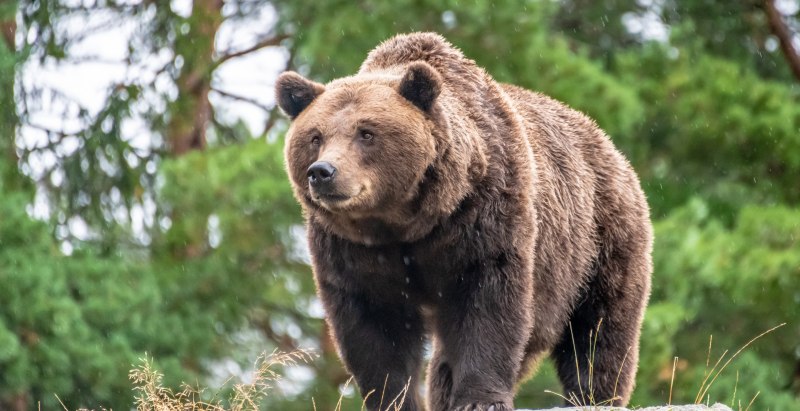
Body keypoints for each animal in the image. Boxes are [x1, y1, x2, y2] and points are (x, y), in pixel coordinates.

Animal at [275, 32, 652, 411]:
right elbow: (374, 325)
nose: (322, 172)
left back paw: (594, 395)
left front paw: (480, 399)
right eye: (315, 136)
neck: (406, 222)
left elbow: (489, 303)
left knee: (599, 329)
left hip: (597, 242)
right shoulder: (351, 249)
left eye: (366, 132)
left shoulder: (484, 216)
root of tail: (606, 142)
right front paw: (393, 399)